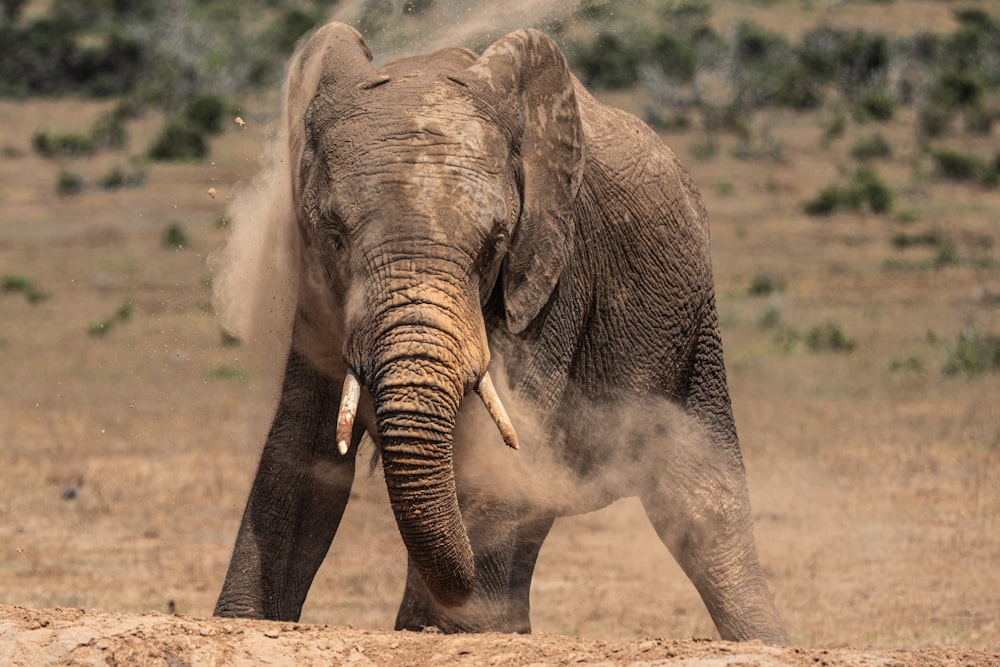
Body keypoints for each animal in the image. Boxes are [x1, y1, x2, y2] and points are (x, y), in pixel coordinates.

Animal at [213, 20, 788, 644]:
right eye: (335, 236)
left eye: (495, 245)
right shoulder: (315, 289)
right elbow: (300, 450)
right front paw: (244, 621)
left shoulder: (552, 276)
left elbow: (496, 448)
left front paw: (439, 629)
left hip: (694, 331)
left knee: (702, 505)